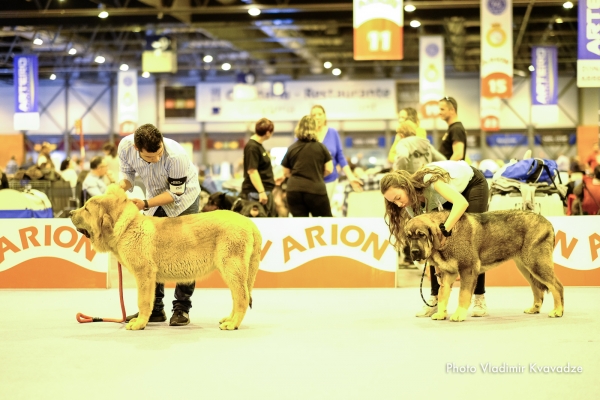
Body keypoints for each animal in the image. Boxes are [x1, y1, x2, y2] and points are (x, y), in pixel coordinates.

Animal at [69, 184, 262, 332]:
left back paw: (232, 324)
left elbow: (143, 301)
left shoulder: (144, 275)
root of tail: (248, 222)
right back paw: (229, 319)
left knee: (242, 298)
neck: (126, 228)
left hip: (232, 268)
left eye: (86, 209)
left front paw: (139, 324)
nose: (70, 212)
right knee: (238, 297)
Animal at [406, 209, 564, 322]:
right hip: (526, 267)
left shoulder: (468, 269)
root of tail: (548, 222)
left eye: (422, 235)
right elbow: (442, 295)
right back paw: (534, 309)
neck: (447, 234)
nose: (414, 252)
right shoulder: (447, 274)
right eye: (408, 237)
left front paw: (459, 314)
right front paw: (440, 313)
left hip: (536, 263)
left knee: (556, 286)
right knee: (537, 288)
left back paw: (558, 311)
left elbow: (463, 294)